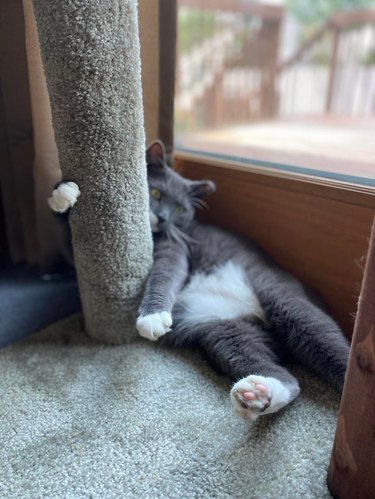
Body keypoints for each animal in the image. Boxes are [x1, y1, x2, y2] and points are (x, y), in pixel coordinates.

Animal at [50, 140, 352, 422]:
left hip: (284, 299)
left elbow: (165, 275)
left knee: (324, 342)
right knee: (286, 378)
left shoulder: (175, 248)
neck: (155, 233)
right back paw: (257, 394)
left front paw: (153, 317)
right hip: (226, 334)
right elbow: (70, 243)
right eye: (156, 193)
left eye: (180, 209)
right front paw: (64, 192)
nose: (163, 218)